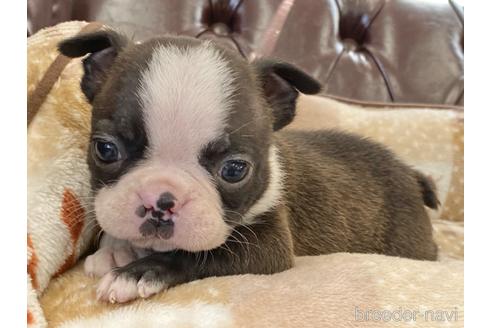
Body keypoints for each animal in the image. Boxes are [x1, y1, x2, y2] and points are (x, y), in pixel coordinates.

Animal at [58, 29, 438, 304]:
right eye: (106, 149)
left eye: (234, 170)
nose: (159, 200)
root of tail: (410, 172)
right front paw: (116, 251)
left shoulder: (269, 248)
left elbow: (201, 255)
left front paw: (136, 273)